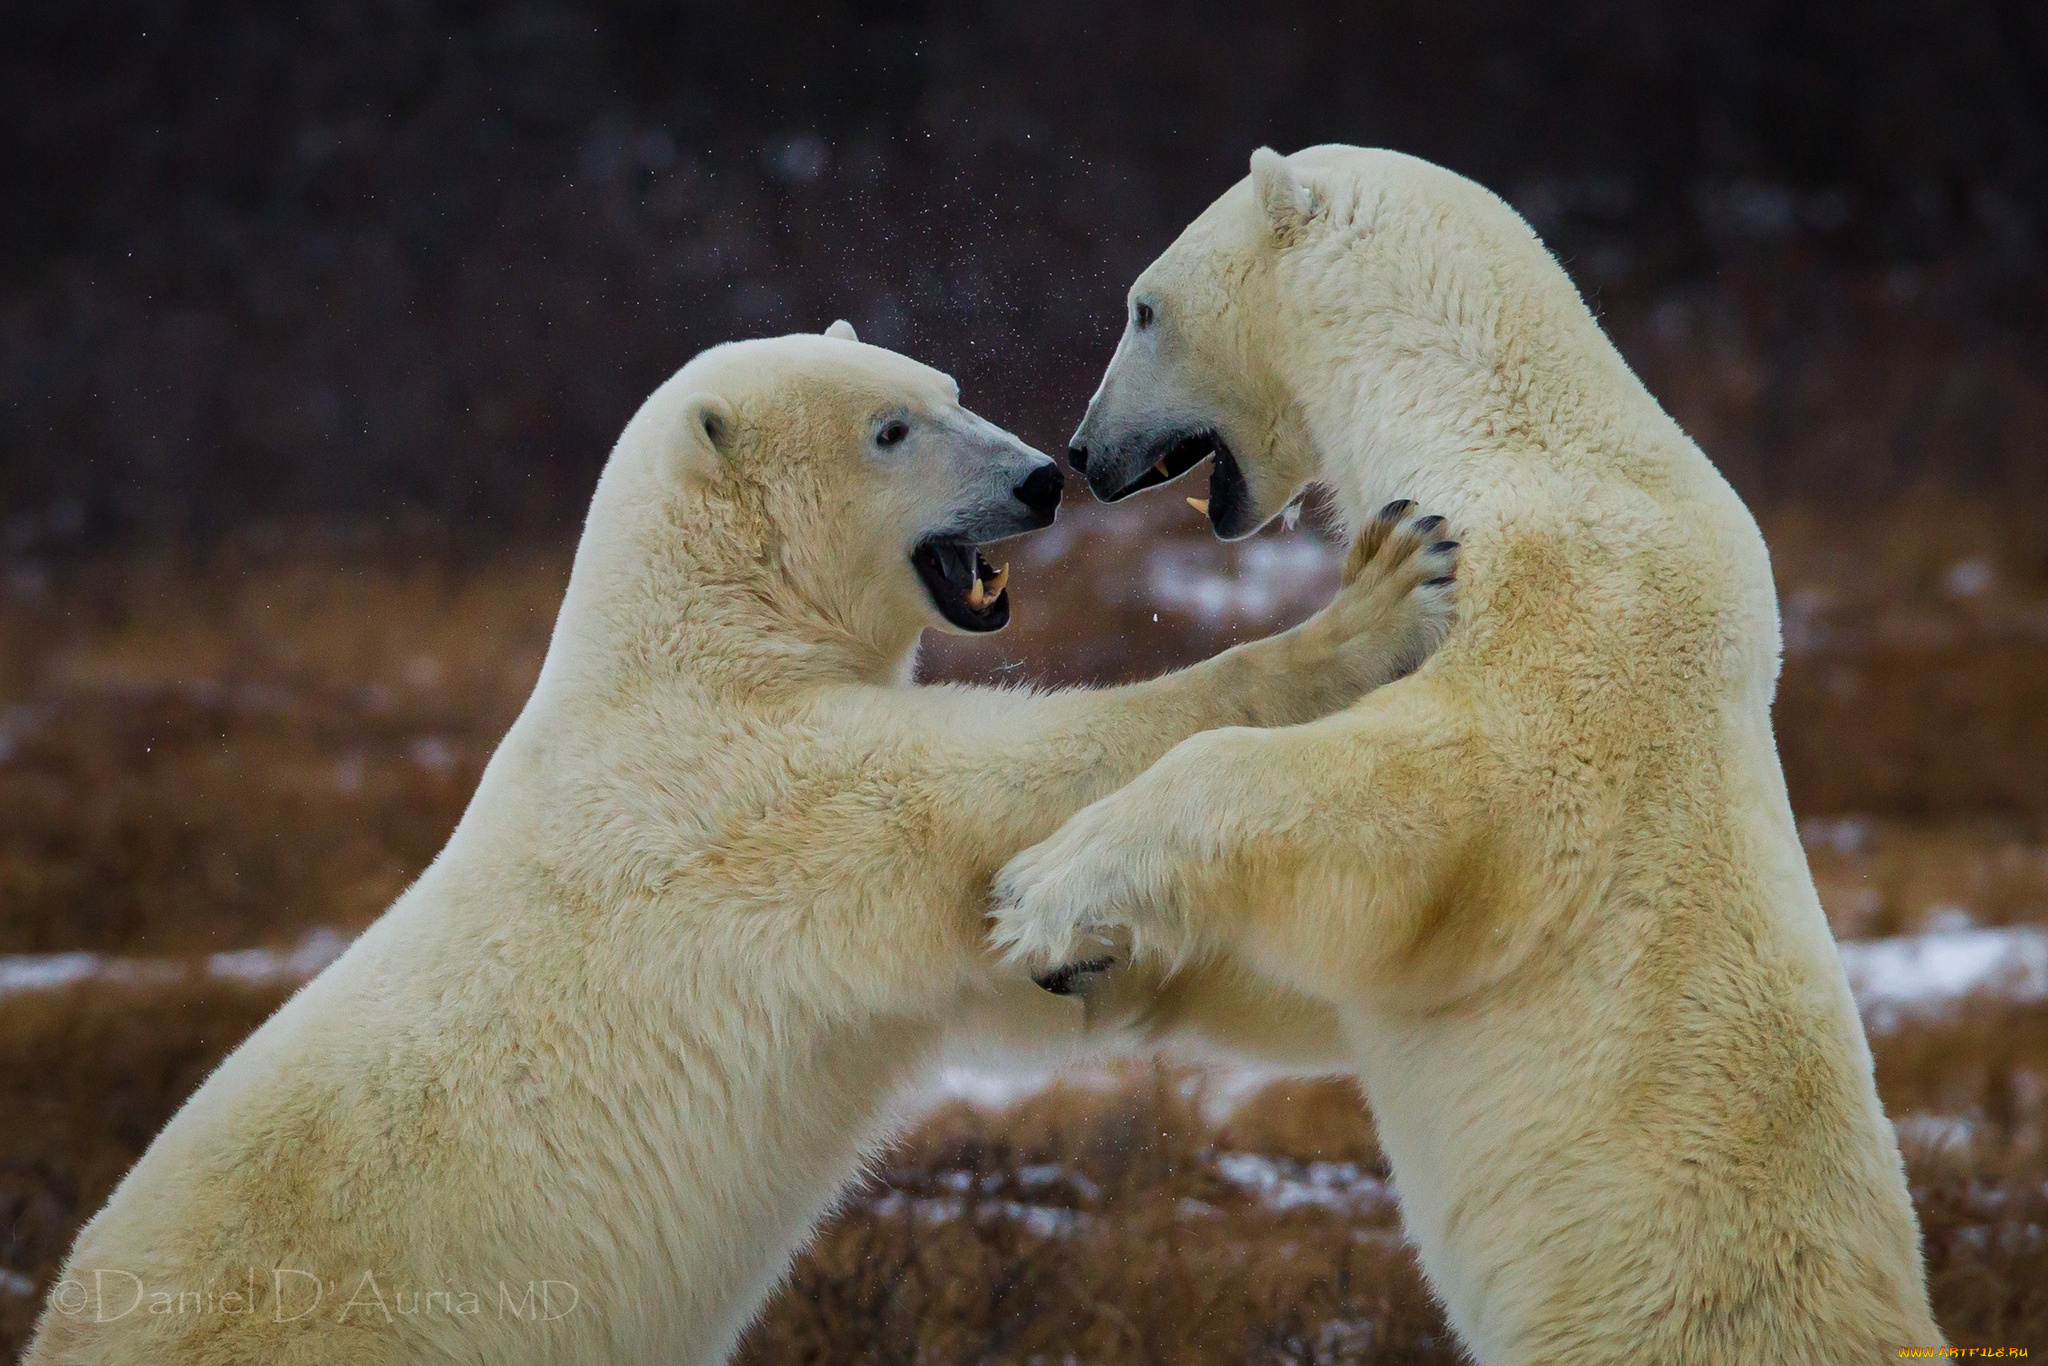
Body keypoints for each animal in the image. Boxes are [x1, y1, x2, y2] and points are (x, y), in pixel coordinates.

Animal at [32, 323, 1466, 1366]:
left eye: (947, 385)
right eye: (891, 428)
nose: (1040, 477)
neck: (698, 635)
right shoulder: (741, 791)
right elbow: (1002, 777)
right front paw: (1382, 590)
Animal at [999, 144, 1941, 1359]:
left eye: (1142, 309)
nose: (1081, 452)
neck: (1482, 412)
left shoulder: (1560, 604)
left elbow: (1435, 804)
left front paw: (1044, 891)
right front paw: (1093, 964)